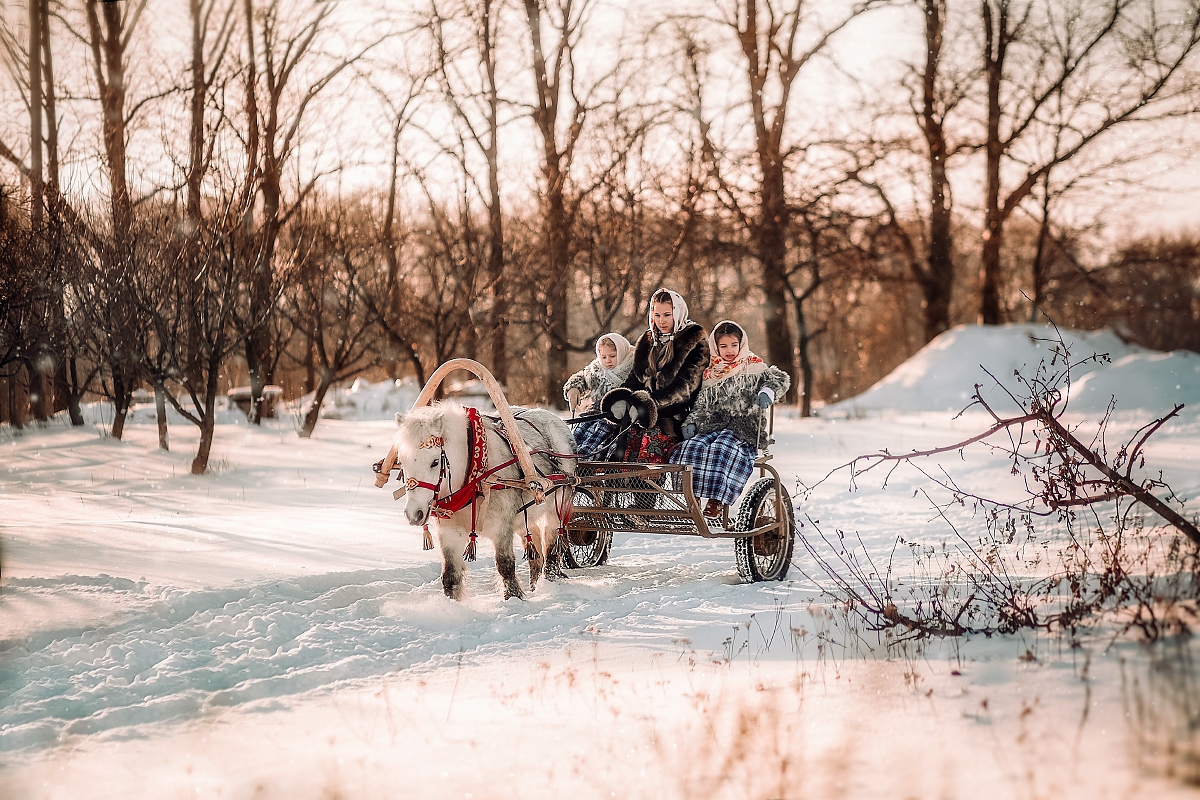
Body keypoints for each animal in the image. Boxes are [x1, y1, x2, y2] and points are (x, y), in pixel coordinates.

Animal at [393, 407, 576, 599]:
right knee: (535, 553)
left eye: (435, 462)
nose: (414, 514)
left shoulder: (501, 527)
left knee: (551, 549)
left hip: (557, 508)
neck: (474, 478)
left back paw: (550, 583)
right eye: (401, 461)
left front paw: (514, 597)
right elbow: (450, 575)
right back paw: (535, 586)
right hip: (526, 518)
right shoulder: (450, 532)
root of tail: (554, 417)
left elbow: (505, 565)